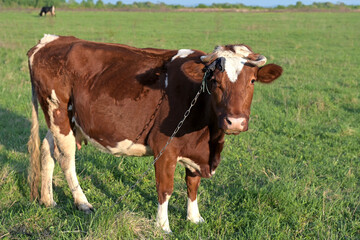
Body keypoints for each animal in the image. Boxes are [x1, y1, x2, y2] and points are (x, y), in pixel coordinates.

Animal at [27, 34, 282, 232]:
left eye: (252, 81)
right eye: (215, 81)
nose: (235, 122)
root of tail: (50, 40)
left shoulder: (195, 150)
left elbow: (193, 185)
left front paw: (194, 218)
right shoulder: (165, 147)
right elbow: (165, 188)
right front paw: (163, 226)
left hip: (66, 122)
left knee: (48, 149)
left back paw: (48, 200)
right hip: (58, 112)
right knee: (66, 158)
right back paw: (82, 202)